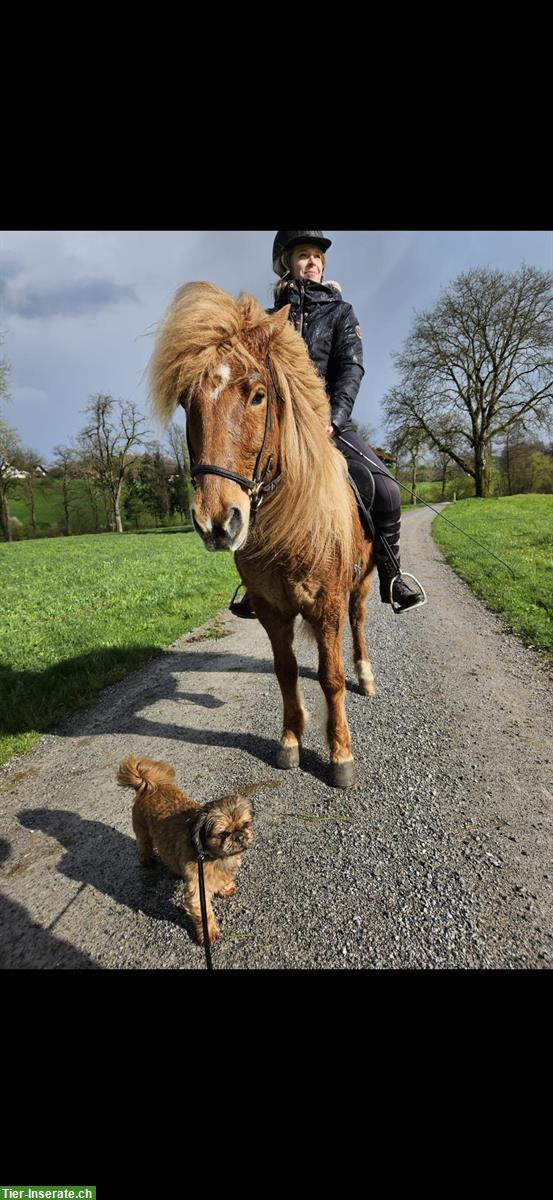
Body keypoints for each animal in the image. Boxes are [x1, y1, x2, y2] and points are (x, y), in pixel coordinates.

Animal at [118, 758, 254, 945]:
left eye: (246, 824)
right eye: (224, 833)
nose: (239, 836)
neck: (213, 855)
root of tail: (149, 787)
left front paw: (225, 888)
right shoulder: (197, 889)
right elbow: (204, 914)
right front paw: (209, 932)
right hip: (142, 832)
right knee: (144, 845)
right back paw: (147, 860)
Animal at [148, 280, 376, 787]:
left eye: (256, 396)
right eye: (187, 402)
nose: (217, 521)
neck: (293, 528)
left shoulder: (329, 604)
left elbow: (331, 677)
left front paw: (340, 755)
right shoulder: (273, 611)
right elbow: (286, 672)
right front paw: (290, 741)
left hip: (364, 583)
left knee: (358, 623)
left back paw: (366, 675)